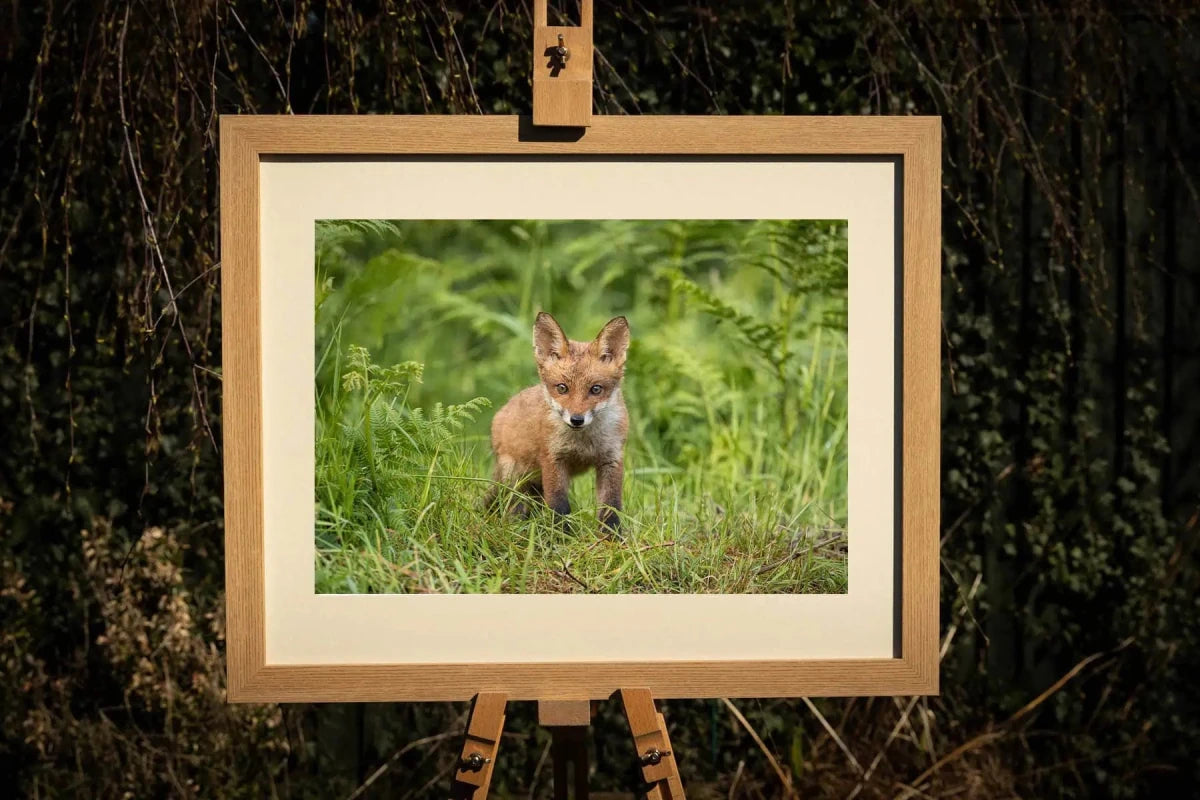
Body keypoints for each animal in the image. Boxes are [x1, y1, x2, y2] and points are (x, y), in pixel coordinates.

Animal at [485, 312, 630, 532]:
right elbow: (558, 506)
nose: (577, 419)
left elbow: (610, 508)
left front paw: (611, 537)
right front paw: (562, 536)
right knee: (513, 508)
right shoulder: (553, 459)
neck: (584, 443)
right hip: (516, 479)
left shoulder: (611, 459)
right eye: (562, 388)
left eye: (596, 389)